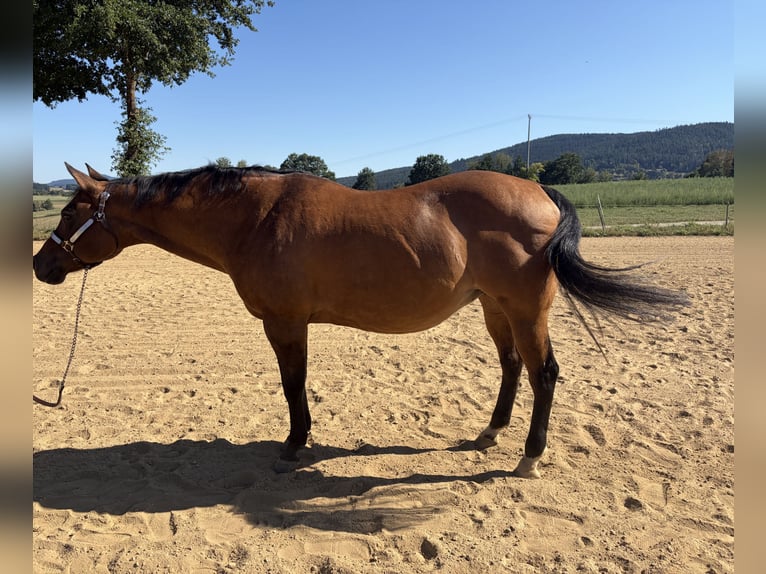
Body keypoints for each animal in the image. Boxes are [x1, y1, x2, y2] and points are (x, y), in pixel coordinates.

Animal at [33, 163, 688, 478]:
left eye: (67, 213)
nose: (42, 265)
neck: (256, 217)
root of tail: (540, 192)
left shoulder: (285, 322)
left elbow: (293, 384)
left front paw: (294, 444)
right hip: (493, 306)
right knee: (510, 368)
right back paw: (489, 433)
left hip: (525, 310)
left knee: (543, 373)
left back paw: (527, 457)